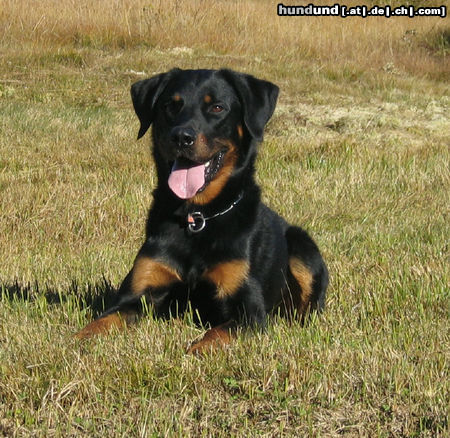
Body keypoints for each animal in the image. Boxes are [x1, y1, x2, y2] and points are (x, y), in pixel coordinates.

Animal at [75, 69, 328, 356]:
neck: (197, 218)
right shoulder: (136, 294)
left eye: (217, 107)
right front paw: (76, 339)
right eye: (170, 106)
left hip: (303, 247)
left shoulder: (248, 311)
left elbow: (216, 334)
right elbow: (102, 321)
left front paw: (194, 350)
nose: (181, 137)